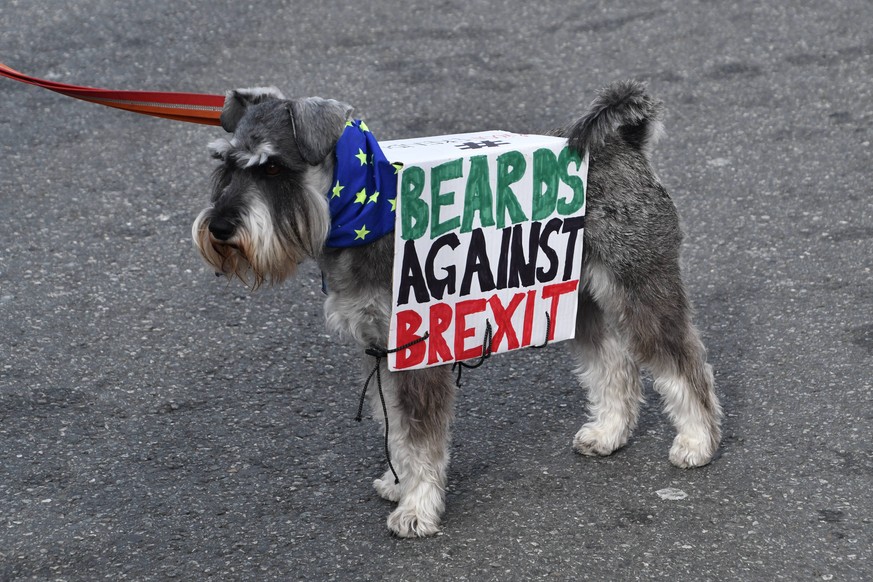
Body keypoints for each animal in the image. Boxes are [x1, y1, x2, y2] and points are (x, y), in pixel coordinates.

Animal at [192, 82, 724, 540]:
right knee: (614, 363)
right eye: (225, 165)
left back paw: (698, 442)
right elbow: (396, 428)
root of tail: (626, 144)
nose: (219, 227)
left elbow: (421, 438)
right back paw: (610, 433)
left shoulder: (417, 347)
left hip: (639, 286)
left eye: (273, 169)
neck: (363, 210)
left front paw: (417, 509)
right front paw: (399, 482)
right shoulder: (383, 349)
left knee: (681, 360)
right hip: (572, 297)